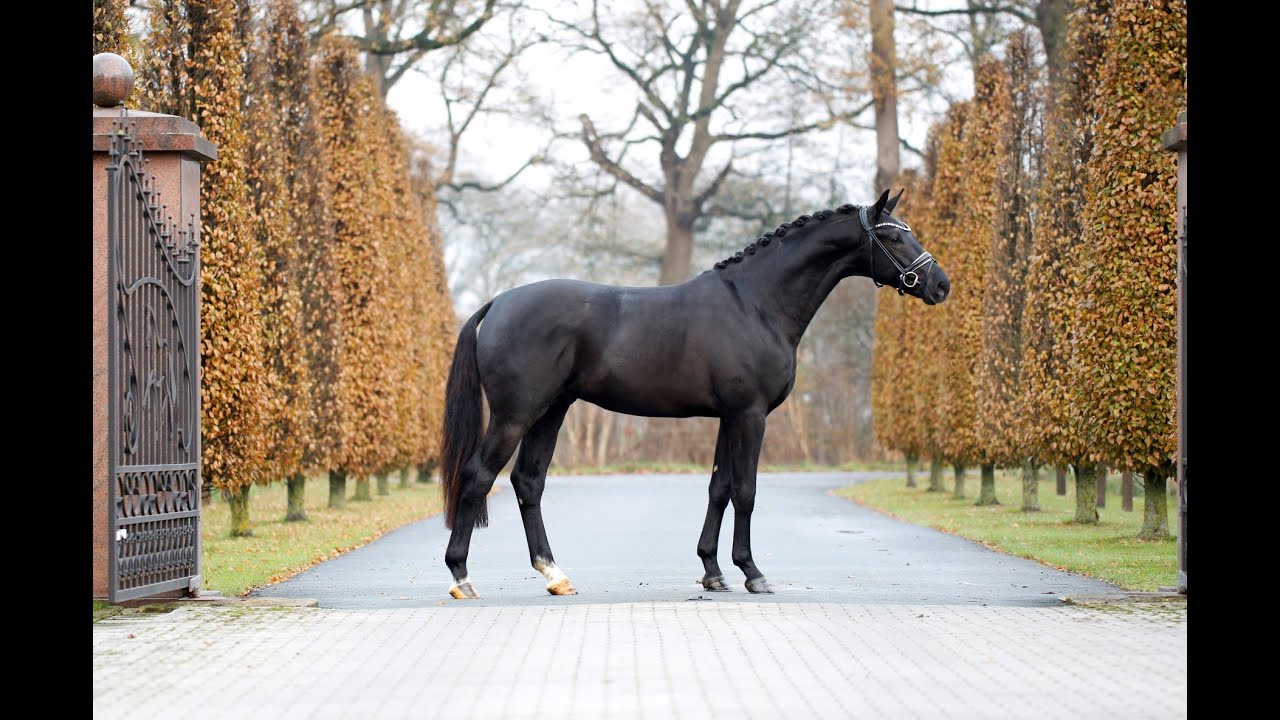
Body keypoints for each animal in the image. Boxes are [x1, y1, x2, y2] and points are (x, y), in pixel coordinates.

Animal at [439, 188, 949, 599]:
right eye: (894, 237)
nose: (941, 284)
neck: (754, 304)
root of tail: (499, 303)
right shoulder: (751, 415)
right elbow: (745, 490)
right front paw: (752, 573)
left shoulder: (729, 416)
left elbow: (718, 488)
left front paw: (713, 572)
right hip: (515, 415)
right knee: (479, 475)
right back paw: (462, 576)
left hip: (551, 411)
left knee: (529, 482)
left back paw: (555, 575)